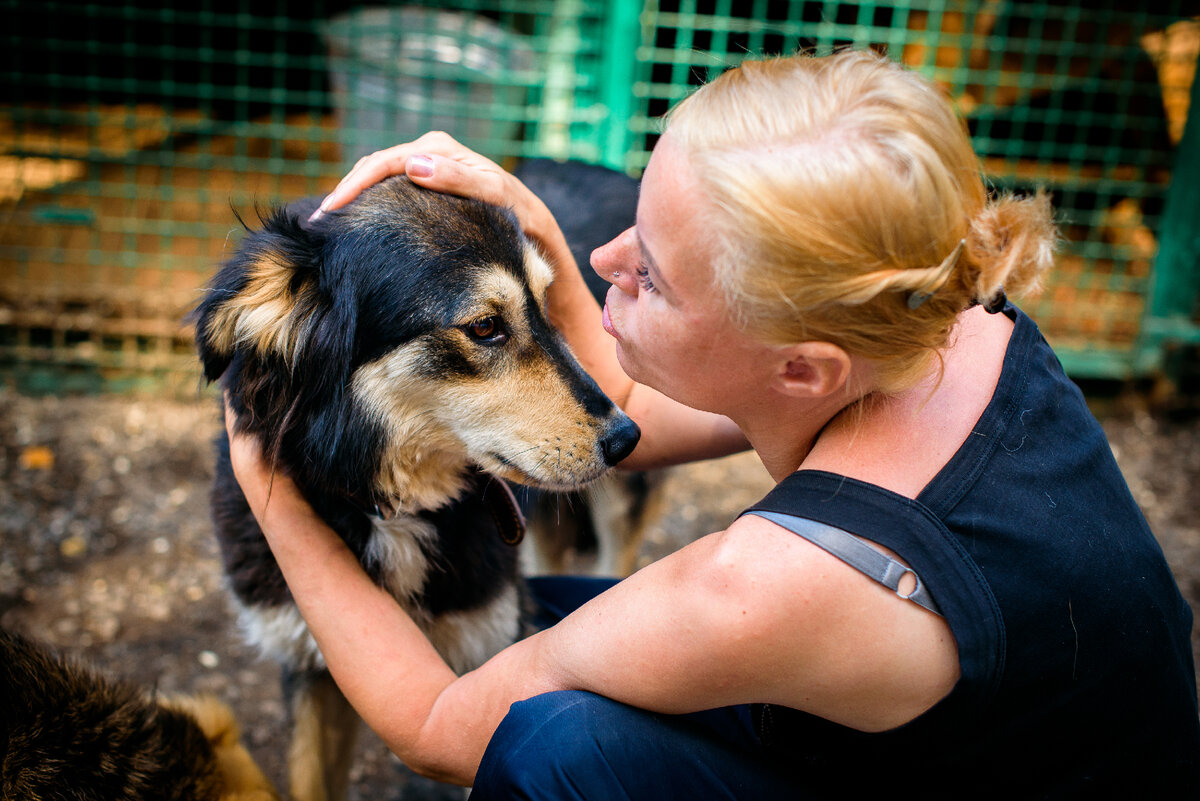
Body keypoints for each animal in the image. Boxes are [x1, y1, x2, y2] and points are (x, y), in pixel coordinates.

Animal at [189, 175, 638, 801]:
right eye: (484, 327)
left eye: (546, 306)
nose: (628, 437)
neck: (392, 510)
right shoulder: (311, 666)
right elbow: (310, 778)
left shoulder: (486, 651)